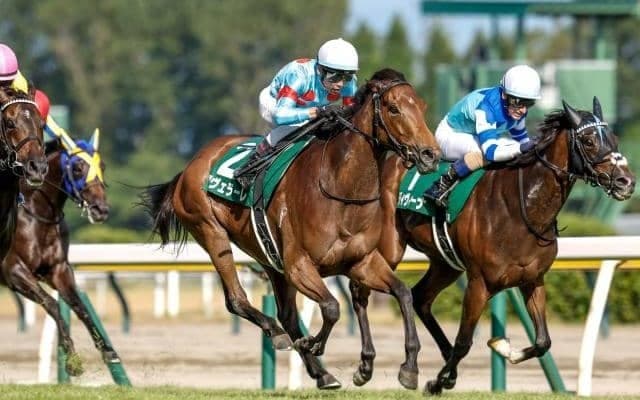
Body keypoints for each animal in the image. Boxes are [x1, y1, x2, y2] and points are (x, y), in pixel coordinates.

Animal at [0, 129, 112, 377]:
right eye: (78, 167)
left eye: (103, 166)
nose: (101, 210)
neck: (37, 216)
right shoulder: (13, 270)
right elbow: (52, 305)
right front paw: (72, 360)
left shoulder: (59, 269)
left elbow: (80, 307)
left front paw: (108, 351)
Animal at [141, 68, 440, 389]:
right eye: (393, 108)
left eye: (422, 107)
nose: (430, 154)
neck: (340, 190)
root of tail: (192, 164)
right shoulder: (299, 265)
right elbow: (332, 307)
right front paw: (315, 344)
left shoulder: (361, 262)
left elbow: (403, 293)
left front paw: (408, 367)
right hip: (212, 232)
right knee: (237, 300)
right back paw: (280, 336)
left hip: (269, 257)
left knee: (286, 314)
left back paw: (322, 373)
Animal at [347, 97, 636, 394]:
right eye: (589, 141)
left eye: (614, 139)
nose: (626, 181)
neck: (521, 209)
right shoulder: (479, 283)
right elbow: (464, 342)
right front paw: (436, 381)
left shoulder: (533, 280)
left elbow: (543, 341)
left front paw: (502, 347)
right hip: (387, 248)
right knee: (361, 292)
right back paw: (367, 367)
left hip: (446, 263)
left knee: (420, 298)